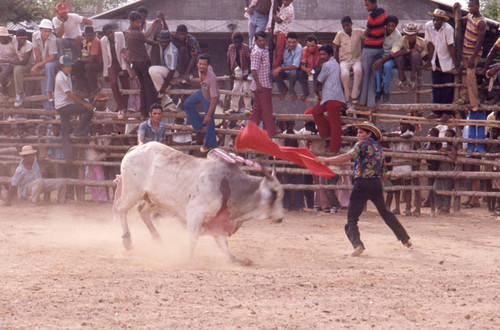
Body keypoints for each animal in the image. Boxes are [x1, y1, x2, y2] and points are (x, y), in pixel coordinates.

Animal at [114, 142, 286, 266]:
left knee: (142, 211)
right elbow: (193, 238)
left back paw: (157, 238)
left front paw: (235, 259)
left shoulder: (217, 219)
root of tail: (136, 148)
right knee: (121, 209)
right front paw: (189, 258)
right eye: (274, 195)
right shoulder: (195, 214)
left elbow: (222, 243)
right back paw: (127, 240)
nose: (281, 218)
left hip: (152, 199)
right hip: (132, 192)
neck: (228, 184)